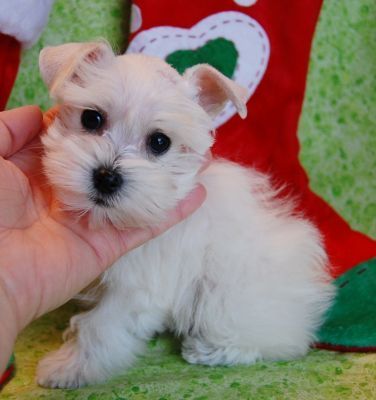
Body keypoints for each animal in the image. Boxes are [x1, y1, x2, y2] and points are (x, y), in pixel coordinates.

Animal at [36, 43, 334, 388]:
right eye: (91, 118)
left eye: (159, 142)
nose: (107, 177)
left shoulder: (136, 290)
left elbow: (97, 327)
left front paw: (67, 369)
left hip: (227, 300)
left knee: (268, 342)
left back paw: (207, 351)